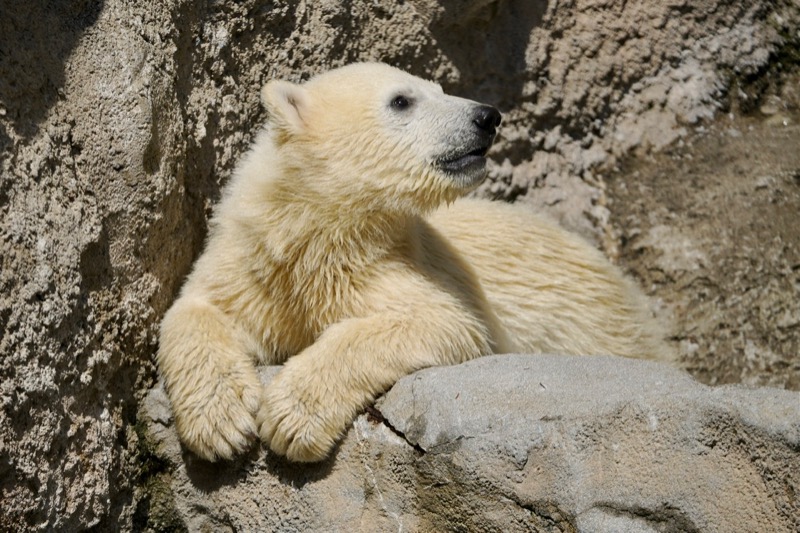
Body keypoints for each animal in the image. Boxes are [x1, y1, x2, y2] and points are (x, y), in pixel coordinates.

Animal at [156, 61, 668, 462]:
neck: (313, 231)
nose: (487, 116)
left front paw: (290, 417)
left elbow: (436, 320)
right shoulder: (255, 261)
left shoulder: (393, 265)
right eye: (402, 100)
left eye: (438, 88)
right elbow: (194, 310)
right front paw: (221, 424)